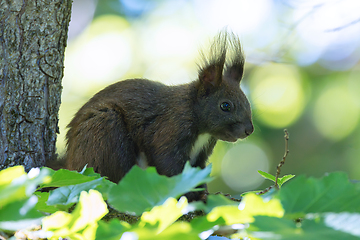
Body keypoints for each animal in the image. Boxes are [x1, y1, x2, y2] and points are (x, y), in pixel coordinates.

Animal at [64, 31, 253, 201]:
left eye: (247, 101)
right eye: (225, 106)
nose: (249, 130)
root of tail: (71, 163)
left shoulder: (201, 154)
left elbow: (198, 174)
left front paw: (209, 193)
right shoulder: (170, 129)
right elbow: (168, 166)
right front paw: (192, 195)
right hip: (104, 132)